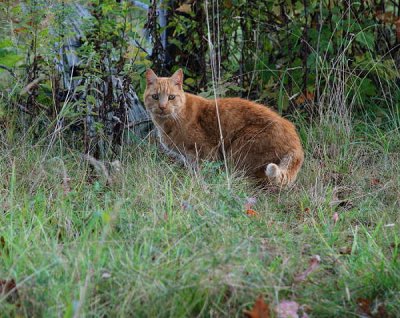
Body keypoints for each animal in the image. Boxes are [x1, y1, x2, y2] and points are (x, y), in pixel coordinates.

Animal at [144, 68, 304, 185]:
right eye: (155, 97)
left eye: (171, 97)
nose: (162, 107)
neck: (168, 122)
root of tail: (297, 144)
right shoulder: (189, 158)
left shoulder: (206, 152)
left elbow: (203, 173)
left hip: (239, 149)